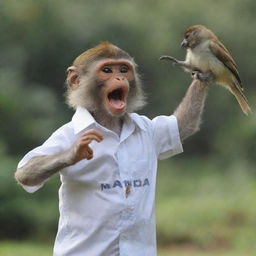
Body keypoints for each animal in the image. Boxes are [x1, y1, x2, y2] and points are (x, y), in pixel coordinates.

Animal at [15, 41, 212, 255]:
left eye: (123, 70)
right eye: (107, 70)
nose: (120, 77)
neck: (108, 121)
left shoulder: (148, 127)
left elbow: (183, 124)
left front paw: (204, 70)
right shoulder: (62, 135)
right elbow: (26, 171)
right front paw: (74, 152)